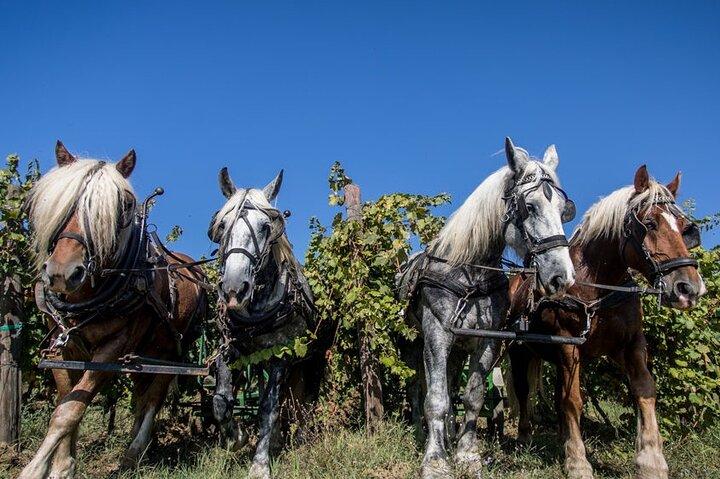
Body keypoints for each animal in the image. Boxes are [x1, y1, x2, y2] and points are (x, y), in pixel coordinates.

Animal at [19, 142, 207, 479]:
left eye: (124, 205)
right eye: (57, 199)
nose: (63, 273)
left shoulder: (111, 351)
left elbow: (70, 410)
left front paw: (36, 468)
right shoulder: (60, 347)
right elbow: (67, 401)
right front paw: (62, 465)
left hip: (170, 350)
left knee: (154, 397)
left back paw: (133, 453)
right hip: (144, 354)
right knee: (141, 395)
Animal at [208, 167, 325, 479]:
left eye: (265, 226)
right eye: (222, 225)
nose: (234, 289)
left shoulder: (281, 355)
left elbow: (268, 407)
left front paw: (259, 465)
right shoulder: (230, 347)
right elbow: (221, 401)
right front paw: (236, 438)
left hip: (307, 362)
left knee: (300, 399)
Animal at [397, 137, 577, 478]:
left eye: (564, 210)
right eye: (530, 207)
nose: (562, 277)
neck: (470, 273)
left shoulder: (487, 341)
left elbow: (473, 396)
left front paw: (467, 454)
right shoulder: (437, 335)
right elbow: (436, 398)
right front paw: (435, 460)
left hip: (458, 349)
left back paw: (449, 435)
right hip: (417, 346)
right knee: (418, 388)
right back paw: (422, 433)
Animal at [508, 165, 706, 479]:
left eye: (685, 227)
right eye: (649, 224)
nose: (689, 288)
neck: (598, 284)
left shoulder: (631, 344)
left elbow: (644, 390)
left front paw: (651, 459)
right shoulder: (568, 345)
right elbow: (573, 400)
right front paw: (578, 462)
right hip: (519, 352)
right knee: (524, 390)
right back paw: (525, 436)